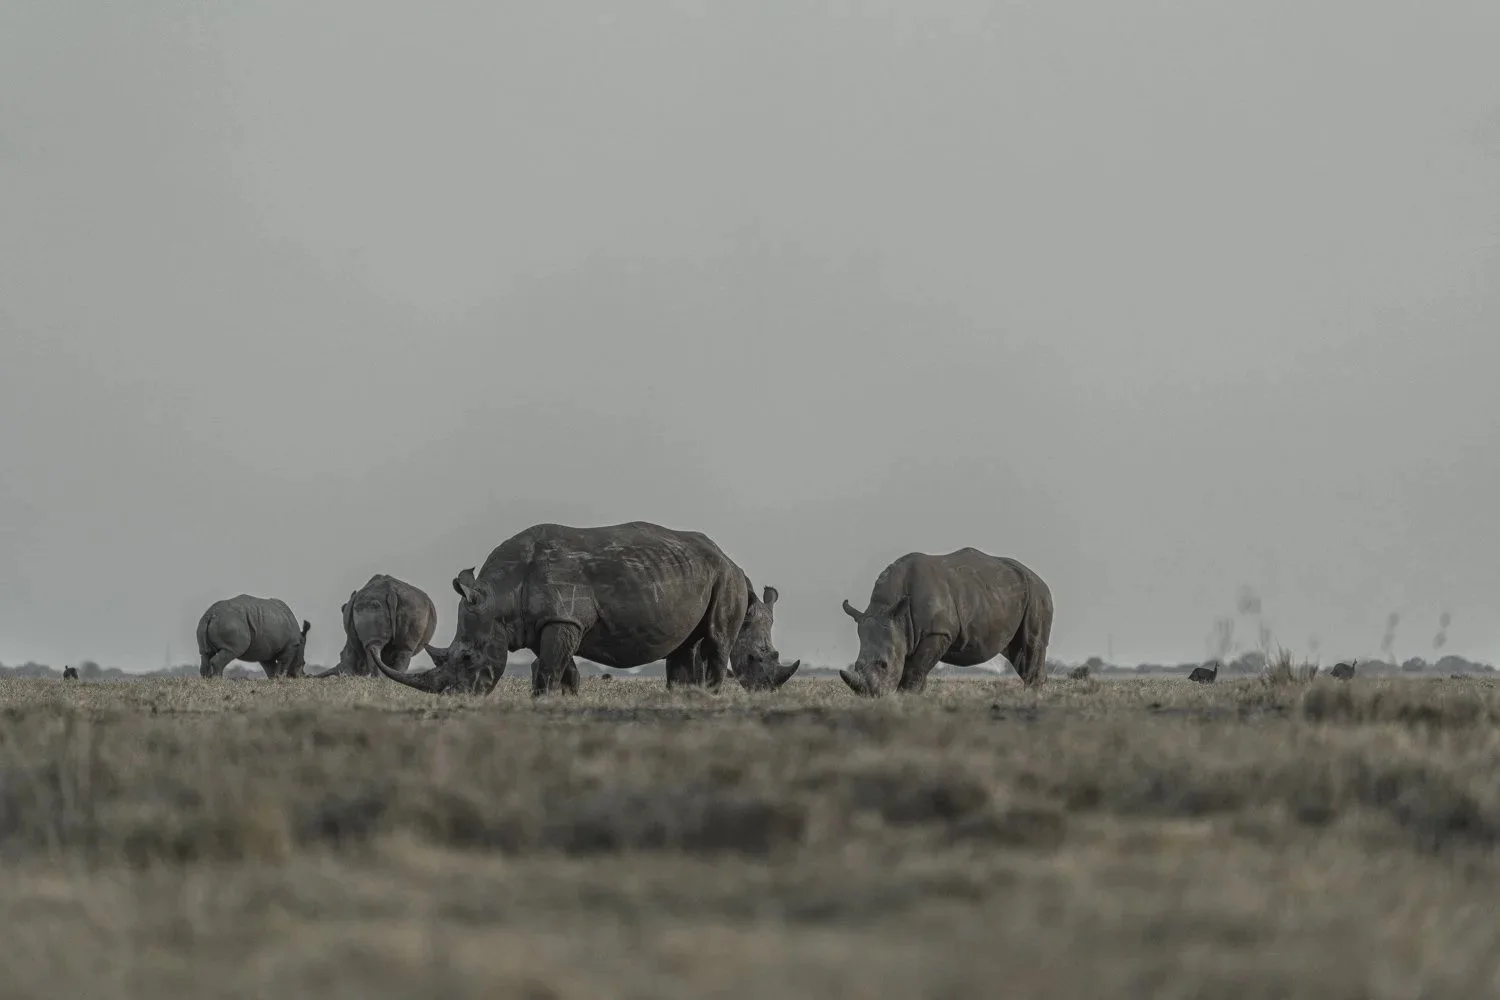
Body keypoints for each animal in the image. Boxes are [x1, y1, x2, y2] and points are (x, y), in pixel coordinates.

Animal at [374, 520, 799, 697]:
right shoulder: (556, 622)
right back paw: (682, 698)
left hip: (724, 578)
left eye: (465, 658)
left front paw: (543, 702)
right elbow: (562, 669)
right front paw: (565, 700)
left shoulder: (563, 619)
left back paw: (708, 697)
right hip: (696, 574)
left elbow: (549, 668)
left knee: (714, 641)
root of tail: (730, 559)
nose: (455, 698)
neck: (498, 596)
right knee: (684, 645)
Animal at [839, 548, 1053, 697]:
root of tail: (1039, 578)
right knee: (1017, 652)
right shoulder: (906, 633)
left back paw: (1031, 698)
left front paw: (905, 696)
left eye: (884, 665)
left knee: (1031, 644)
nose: (871, 696)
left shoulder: (937, 632)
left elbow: (914, 671)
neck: (889, 608)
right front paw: (915, 697)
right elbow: (917, 671)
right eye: (856, 665)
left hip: (1037, 595)